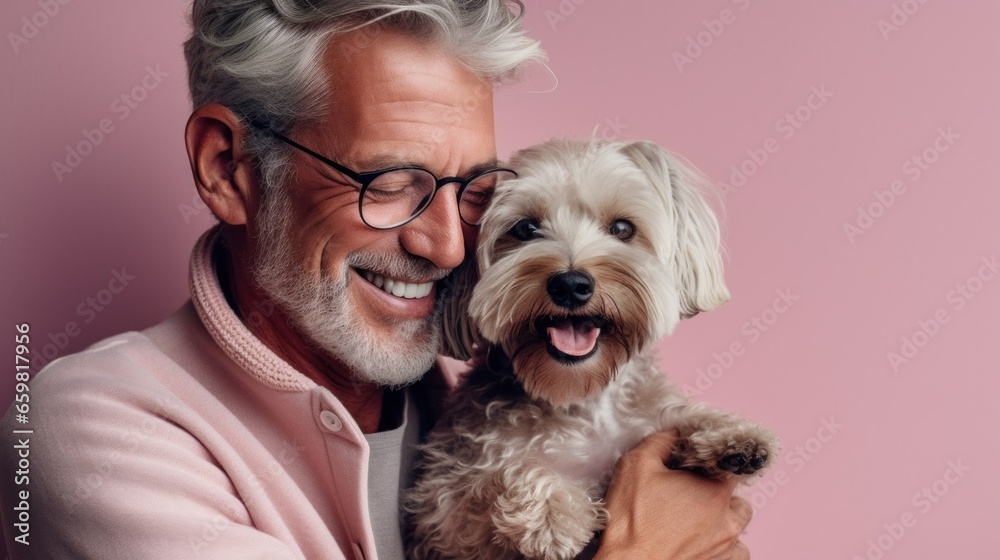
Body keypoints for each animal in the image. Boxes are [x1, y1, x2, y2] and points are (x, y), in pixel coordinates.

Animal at [406, 137, 780, 560]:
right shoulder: (442, 512)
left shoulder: (648, 420)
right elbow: (494, 476)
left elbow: (678, 414)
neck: (580, 399)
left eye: (622, 228)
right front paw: (553, 515)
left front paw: (732, 435)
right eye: (525, 228)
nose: (570, 284)